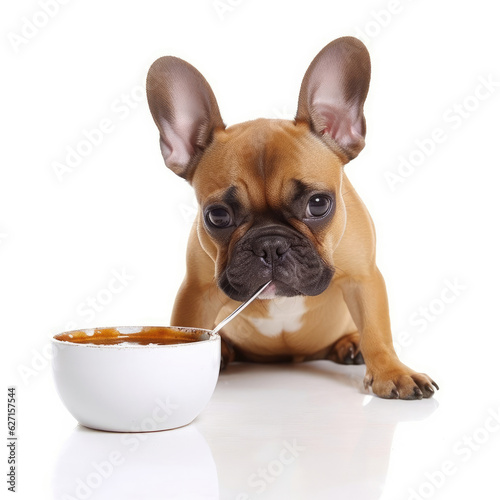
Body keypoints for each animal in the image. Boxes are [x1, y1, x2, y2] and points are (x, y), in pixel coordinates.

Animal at [146, 37, 438, 400]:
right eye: (217, 216)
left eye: (318, 204)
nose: (271, 245)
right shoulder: (196, 291)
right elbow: (188, 328)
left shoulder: (363, 277)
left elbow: (376, 329)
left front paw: (392, 372)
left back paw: (350, 345)